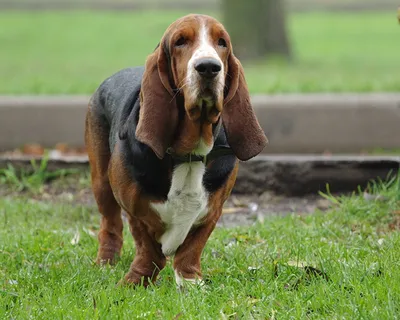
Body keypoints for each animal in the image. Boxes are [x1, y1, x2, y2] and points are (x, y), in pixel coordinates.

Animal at [86, 13, 270, 286]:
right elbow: (147, 247)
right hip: (101, 183)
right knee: (110, 225)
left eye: (222, 42)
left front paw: (190, 282)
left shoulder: (213, 210)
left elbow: (191, 249)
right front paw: (136, 281)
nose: (209, 67)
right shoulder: (134, 210)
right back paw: (106, 262)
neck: (189, 153)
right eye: (180, 41)